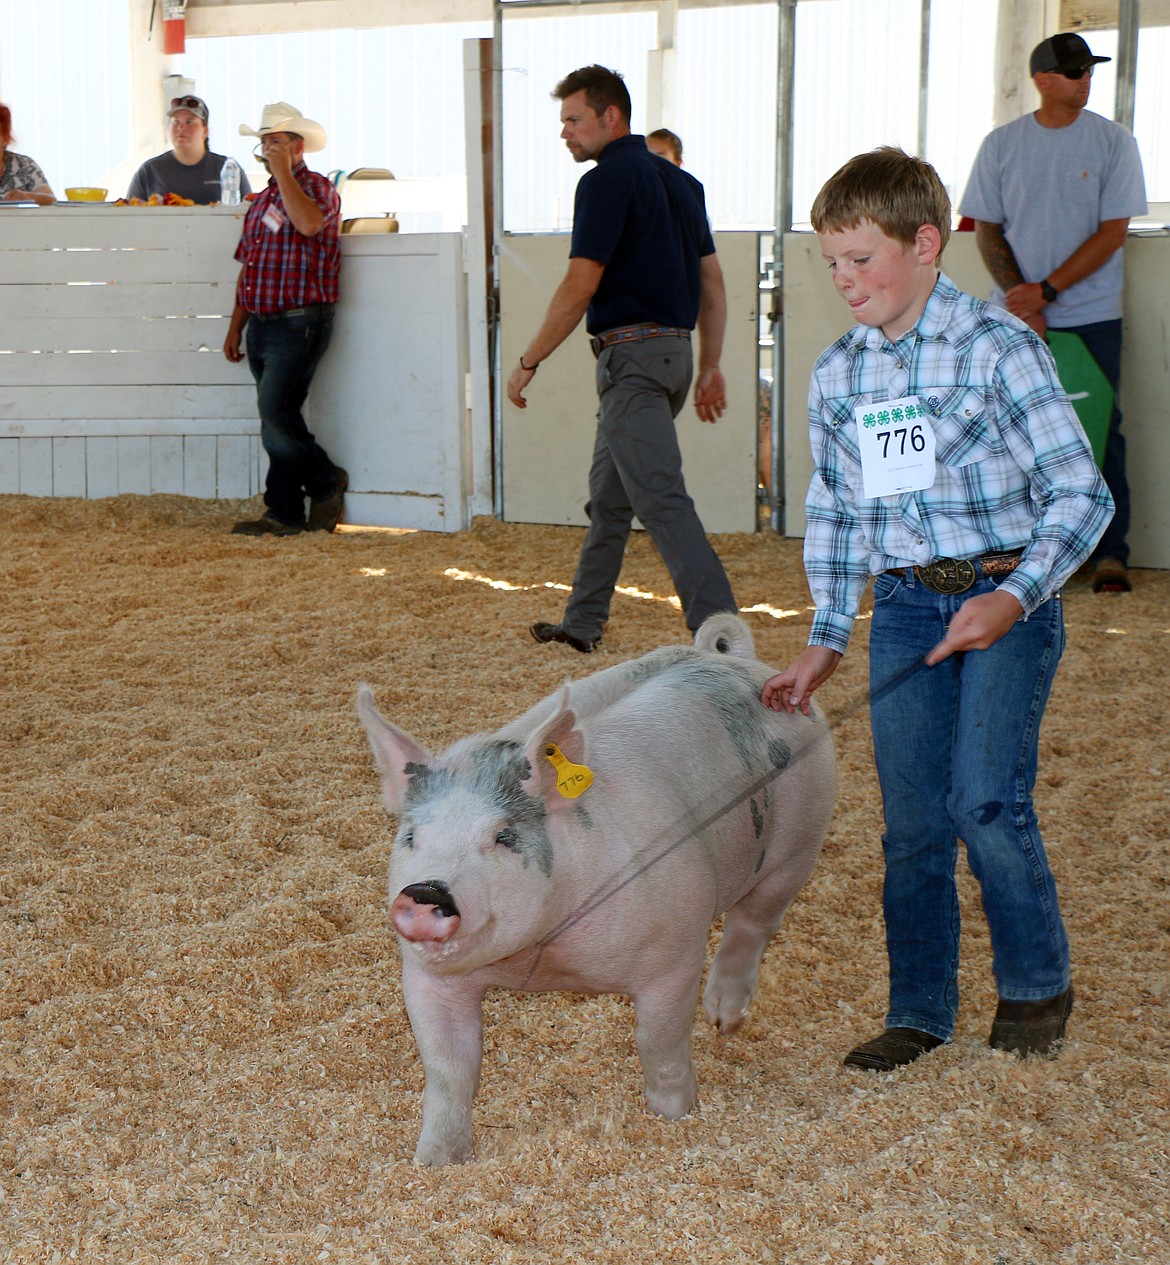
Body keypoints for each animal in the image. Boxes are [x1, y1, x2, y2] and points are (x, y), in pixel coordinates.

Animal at [361, 614, 834, 1163]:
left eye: (504, 836)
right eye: (411, 836)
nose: (425, 893)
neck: (543, 957)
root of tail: (738, 662)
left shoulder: (675, 950)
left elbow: (659, 1040)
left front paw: (675, 1116)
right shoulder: (427, 977)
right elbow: (448, 1068)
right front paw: (435, 1162)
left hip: (799, 840)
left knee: (754, 923)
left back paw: (724, 1021)